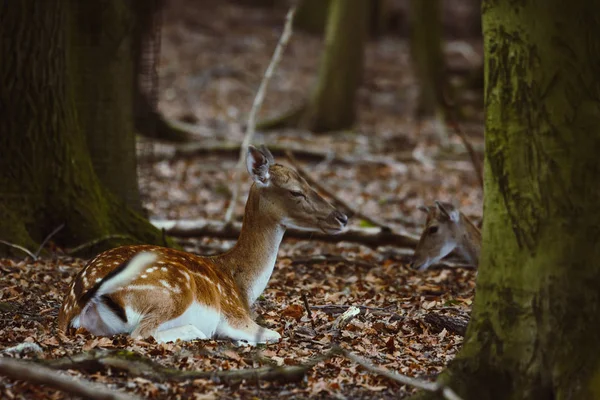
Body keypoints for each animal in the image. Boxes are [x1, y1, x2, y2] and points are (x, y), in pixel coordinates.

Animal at [57, 146, 346, 344]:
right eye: (295, 191)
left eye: (308, 183)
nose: (342, 217)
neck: (242, 286)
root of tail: (79, 303)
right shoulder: (234, 314)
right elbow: (273, 334)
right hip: (175, 290)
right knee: (140, 333)